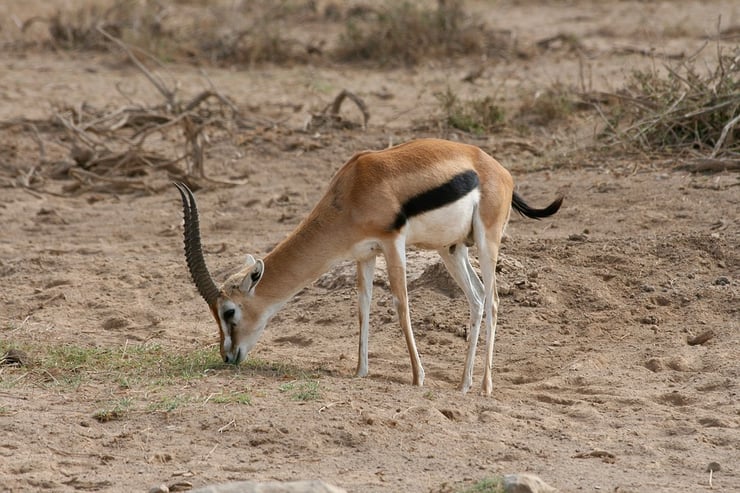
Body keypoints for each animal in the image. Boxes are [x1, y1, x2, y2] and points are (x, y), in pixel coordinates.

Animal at [175, 138, 562, 395]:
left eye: (228, 312)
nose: (228, 355)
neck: (351, 190)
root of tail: (499, 171)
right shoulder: (364, 254)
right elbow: (363, 308)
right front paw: (360, 371)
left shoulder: (393, 243)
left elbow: (402, 306)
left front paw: (418, 377)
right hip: (451, 249)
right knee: (478, 298)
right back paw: (464, 384)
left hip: (486, 241)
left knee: (493, 301)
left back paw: (484, 386)